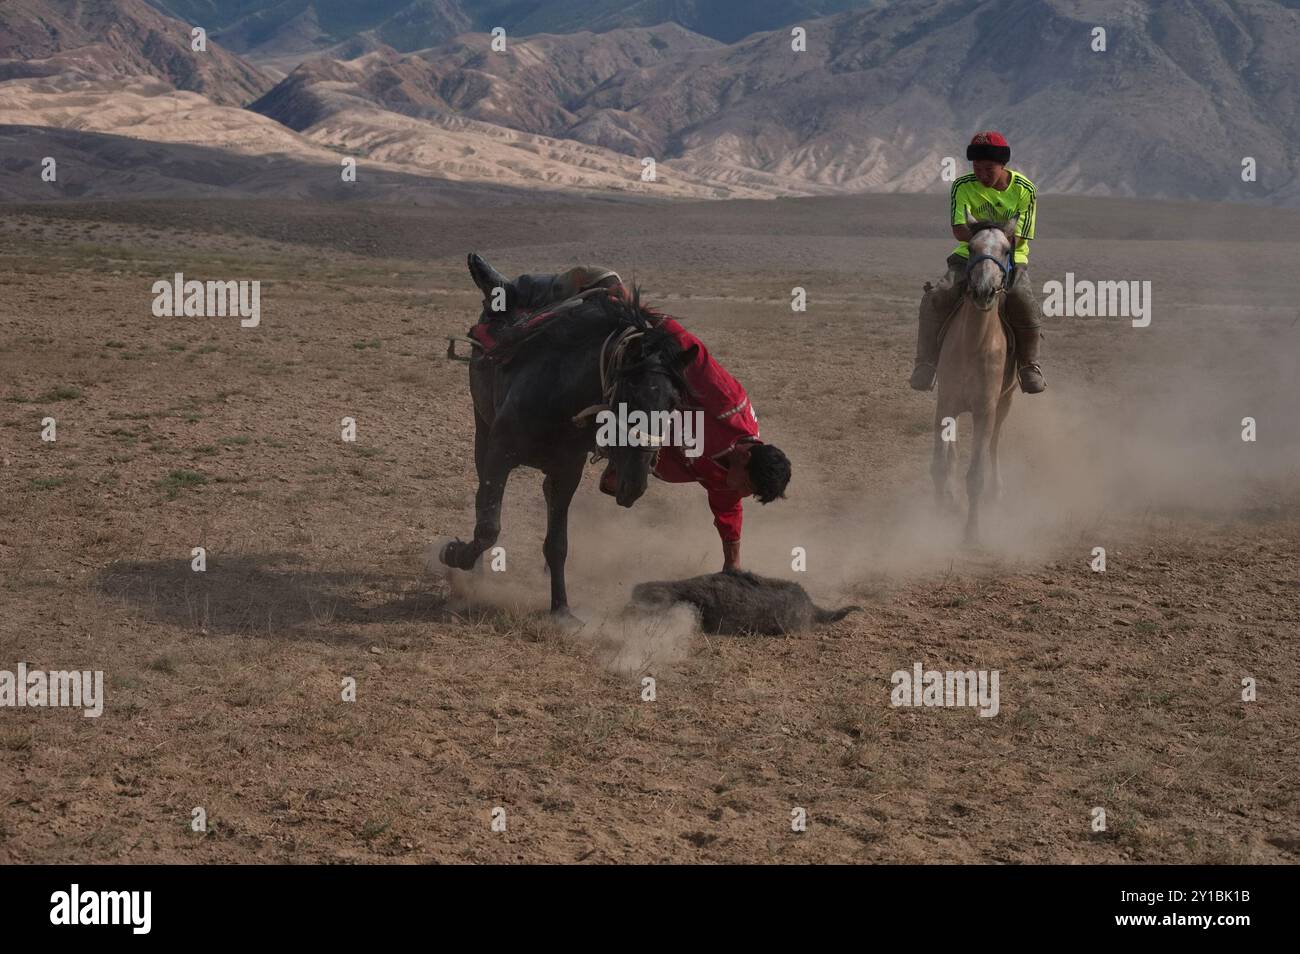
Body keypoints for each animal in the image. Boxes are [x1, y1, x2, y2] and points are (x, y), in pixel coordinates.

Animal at [935, 214, 1024, 545]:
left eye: (1006, 249)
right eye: (971, 248)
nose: (984, 290)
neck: (973, 344)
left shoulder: (985, 410)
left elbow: (975, 474)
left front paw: (971, 532)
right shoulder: (945, 403)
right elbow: (940, 465)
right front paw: (940, 512)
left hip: (1005, 402)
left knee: (993, 444)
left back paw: (996, 491)